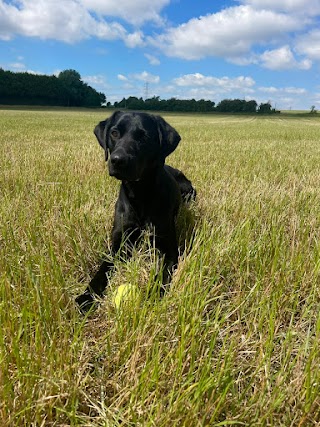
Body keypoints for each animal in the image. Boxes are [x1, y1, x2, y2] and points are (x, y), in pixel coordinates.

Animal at [75, 111, 195, 310]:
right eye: (114, 133)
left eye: (144, 136)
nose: (117, 160)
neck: (139, 194)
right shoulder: (118, 244)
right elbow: (102, 270)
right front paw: (86, 296)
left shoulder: (170, 250)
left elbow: (163, 273)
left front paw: (153, 293)